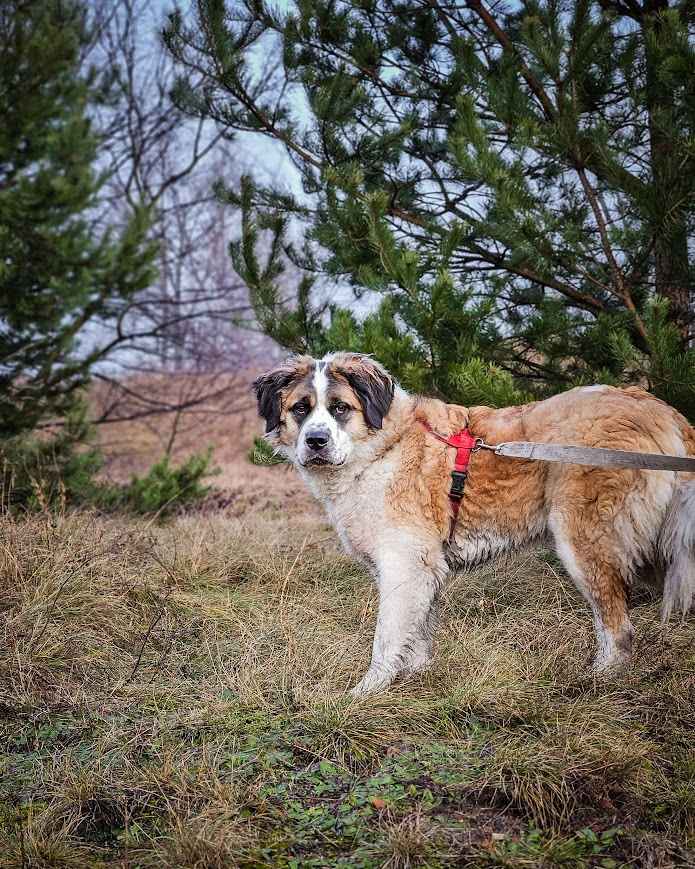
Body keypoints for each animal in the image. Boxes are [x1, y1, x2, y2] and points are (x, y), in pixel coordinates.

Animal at [253, 350, 695, 696]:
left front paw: (367, 693)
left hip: (584, 542)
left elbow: (387, 637)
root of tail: (661, 410)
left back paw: (599, 680)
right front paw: (414, 678)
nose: (316, 441)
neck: (385, 447)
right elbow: (418, 632)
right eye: (301, 409)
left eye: (340, 408)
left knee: (617, 629)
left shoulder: (403, 565)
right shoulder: (422, 568)